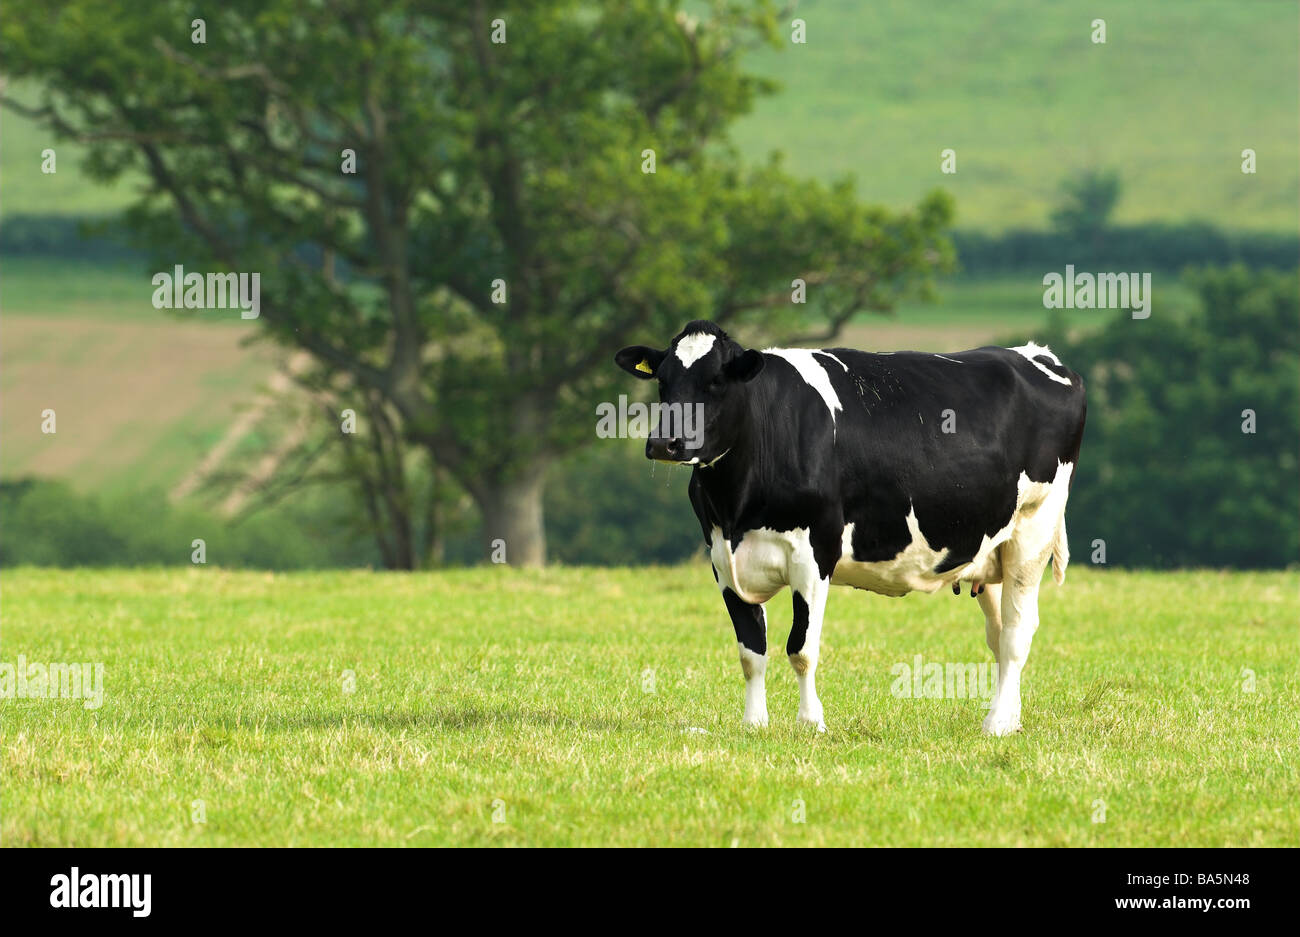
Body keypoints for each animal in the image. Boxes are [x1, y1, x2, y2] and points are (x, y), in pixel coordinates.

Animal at [618, 318, 1086, 732]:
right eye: (662, 382)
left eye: (716, 381)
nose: (663, 443)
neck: (738, 504)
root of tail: (1037, 354)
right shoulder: (722, 559)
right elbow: (751, 652)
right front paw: (754, 724)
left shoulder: (814, 553)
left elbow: (801, 648)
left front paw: (811, 723)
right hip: (986, 550)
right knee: (1000, 633)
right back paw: (1011, 719)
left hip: (1032, 532)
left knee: (1017, 634)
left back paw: (997, 724)